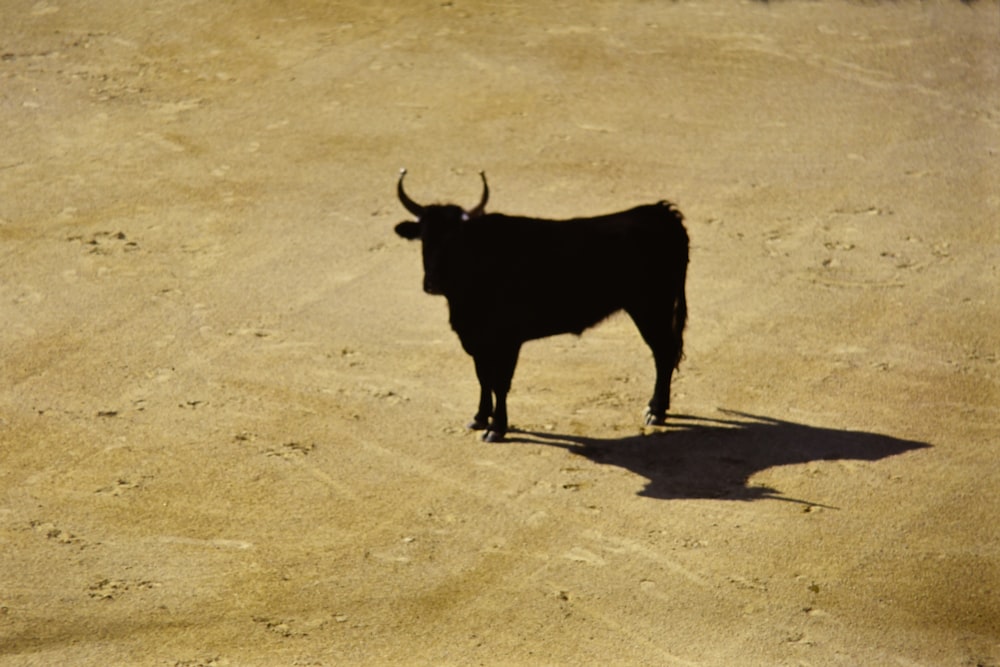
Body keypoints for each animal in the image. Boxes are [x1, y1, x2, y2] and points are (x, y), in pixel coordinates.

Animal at [390, 168, 688, 444]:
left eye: (456, 240)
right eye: (424, 238)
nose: (433, 283)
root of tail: (660, 212)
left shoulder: (507, 340)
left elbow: (500, 382)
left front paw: (497, 428)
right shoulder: (476, 339)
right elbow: (483, 377)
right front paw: (479, 418)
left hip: (651, 308)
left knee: (663, 352)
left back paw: (655, 410)